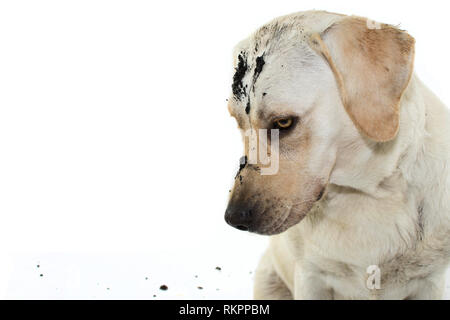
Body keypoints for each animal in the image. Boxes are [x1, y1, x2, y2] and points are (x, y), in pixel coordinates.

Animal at [225, 10, 450, 300]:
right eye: (237, 122)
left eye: (283, 122)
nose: (233, 218)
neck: (368, 194)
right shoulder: (310, 277)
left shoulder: (431, 281)